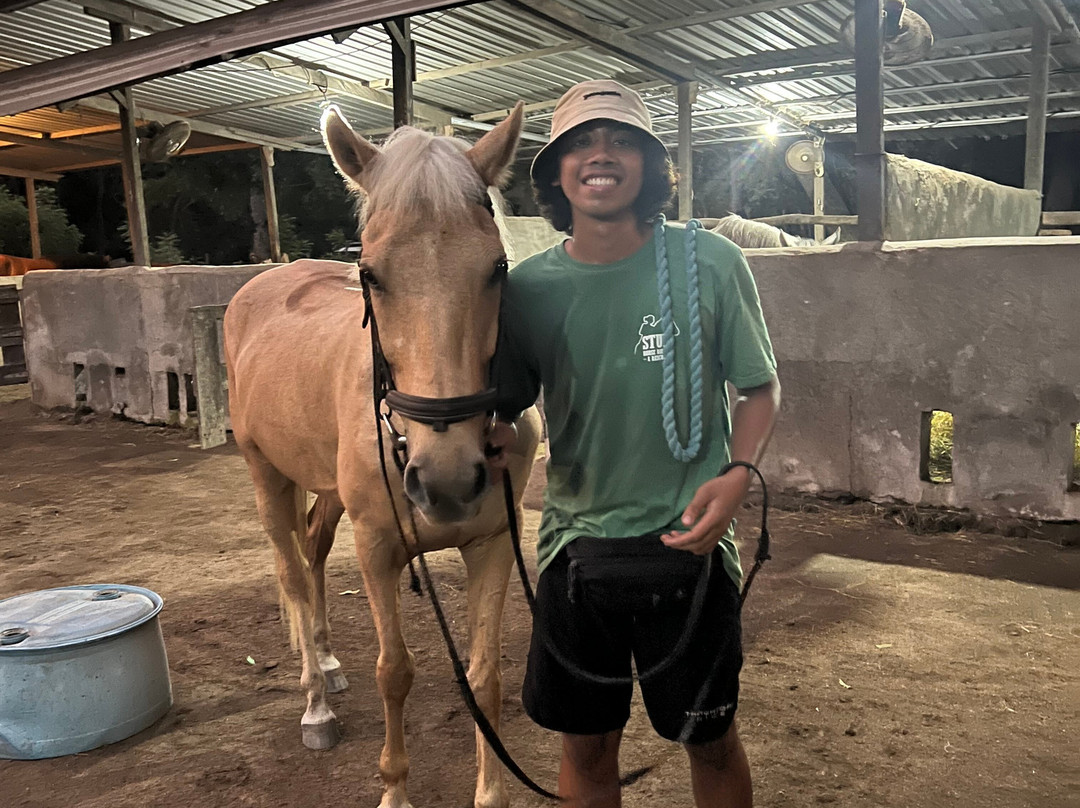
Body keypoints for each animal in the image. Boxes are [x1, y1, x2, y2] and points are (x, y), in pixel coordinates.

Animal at [223, 103, 541, 808]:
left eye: (497, 268)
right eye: (370, 273)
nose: (448, 479)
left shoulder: (493, 542)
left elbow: (484, 674)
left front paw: (491, 792)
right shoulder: (376, 547)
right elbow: (394, 671)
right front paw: (394, 789)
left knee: (314, 552)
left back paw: (328, 661)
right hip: (264, 473)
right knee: (292, 571)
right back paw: (316, 702)